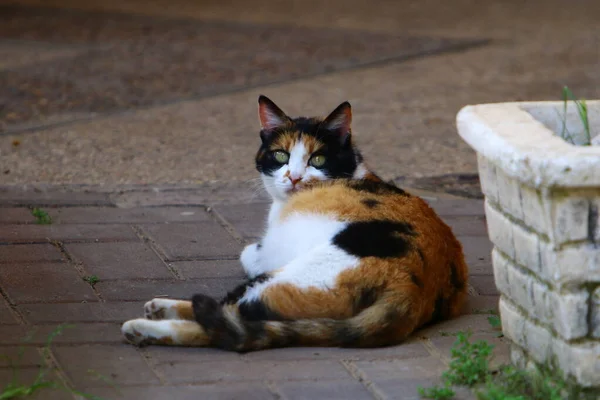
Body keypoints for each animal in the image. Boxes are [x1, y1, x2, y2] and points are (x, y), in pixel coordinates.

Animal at [122, 95, 468, 352]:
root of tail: (409, 291)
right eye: (280, 155)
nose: (295, 177)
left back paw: (142, 326)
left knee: (229, 321)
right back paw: (154, 312)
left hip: (293, 277)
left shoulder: (271, 251)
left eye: (318, 159)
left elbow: (248, 254)